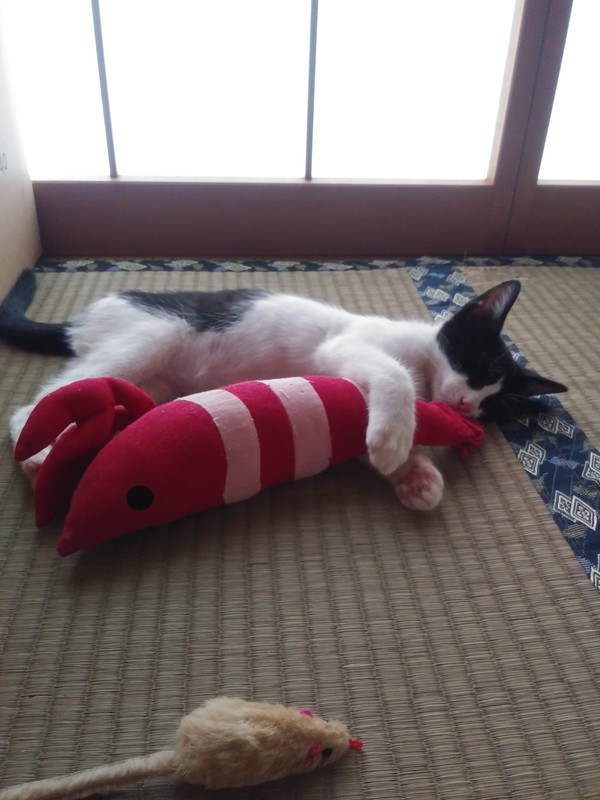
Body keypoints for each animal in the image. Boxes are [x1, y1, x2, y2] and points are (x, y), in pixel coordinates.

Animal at [0, 271, 567, 511]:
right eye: (475, 367)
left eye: (494, 404)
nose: (467, 404)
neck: (427, 364)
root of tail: (86, 316)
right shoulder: (345, 349)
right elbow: (393, 377)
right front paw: (395, 444)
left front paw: (415, 476)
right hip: (153, 335)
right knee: (28, 410)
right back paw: (42, 455)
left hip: (151, 381)